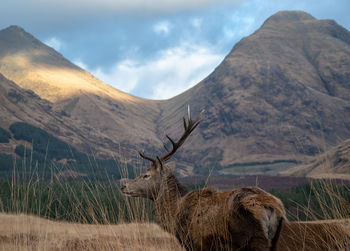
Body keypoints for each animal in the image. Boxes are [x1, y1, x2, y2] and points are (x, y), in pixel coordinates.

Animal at [121, 108, 288, 251]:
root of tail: (272, 207)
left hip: (251, 240)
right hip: (276, 239)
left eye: (146, 175)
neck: (173, 213)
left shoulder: (192, 242)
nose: (124, 186)